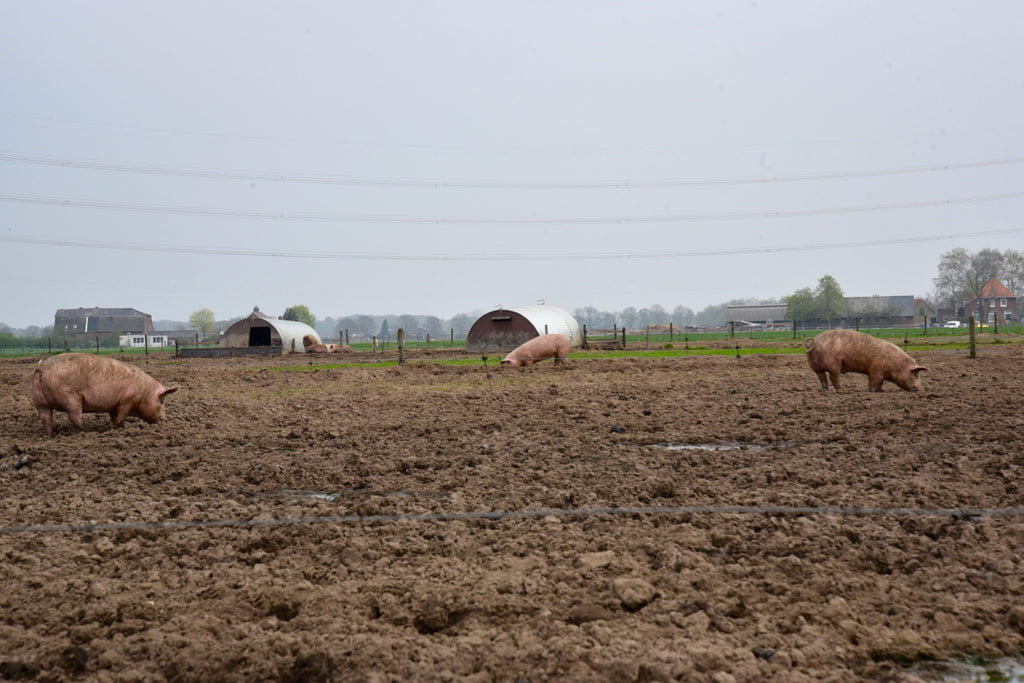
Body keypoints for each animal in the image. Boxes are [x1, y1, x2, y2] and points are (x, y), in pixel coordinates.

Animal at [28, 356, 179, 436]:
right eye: (162, 401)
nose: (164, 419)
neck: (144, 391)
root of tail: (42, 368)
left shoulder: (114, 405)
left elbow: (114, 416)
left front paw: (117, 426)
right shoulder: (126, 400)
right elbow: (120, 416)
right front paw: (118, 428)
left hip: (39, 401)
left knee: (45, 418)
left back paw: (50, 434)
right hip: (70, 397)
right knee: (74, 416)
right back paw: (86, 431)